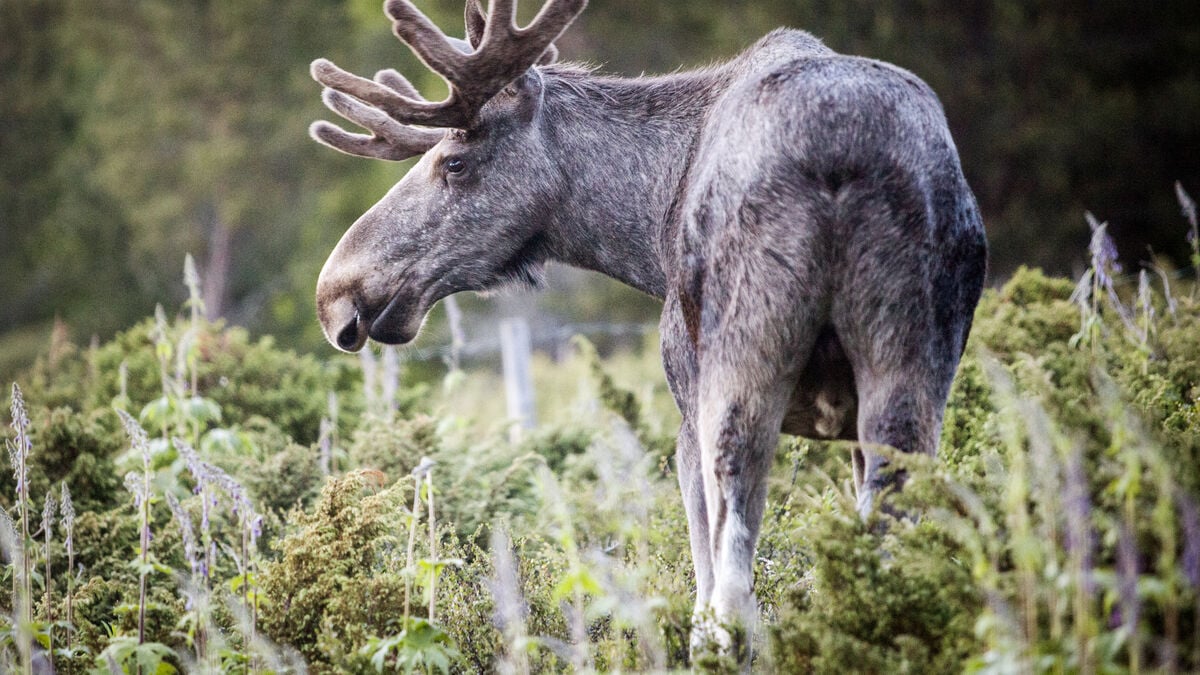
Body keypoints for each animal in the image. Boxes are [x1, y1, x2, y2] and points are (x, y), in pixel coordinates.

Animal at [308, 0, 987, 655]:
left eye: (453, 162)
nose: (335, 293)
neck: (647, 227)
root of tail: (843, 150)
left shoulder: (685, 410)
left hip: (737, 368)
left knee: (730, 600)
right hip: (908, 373)